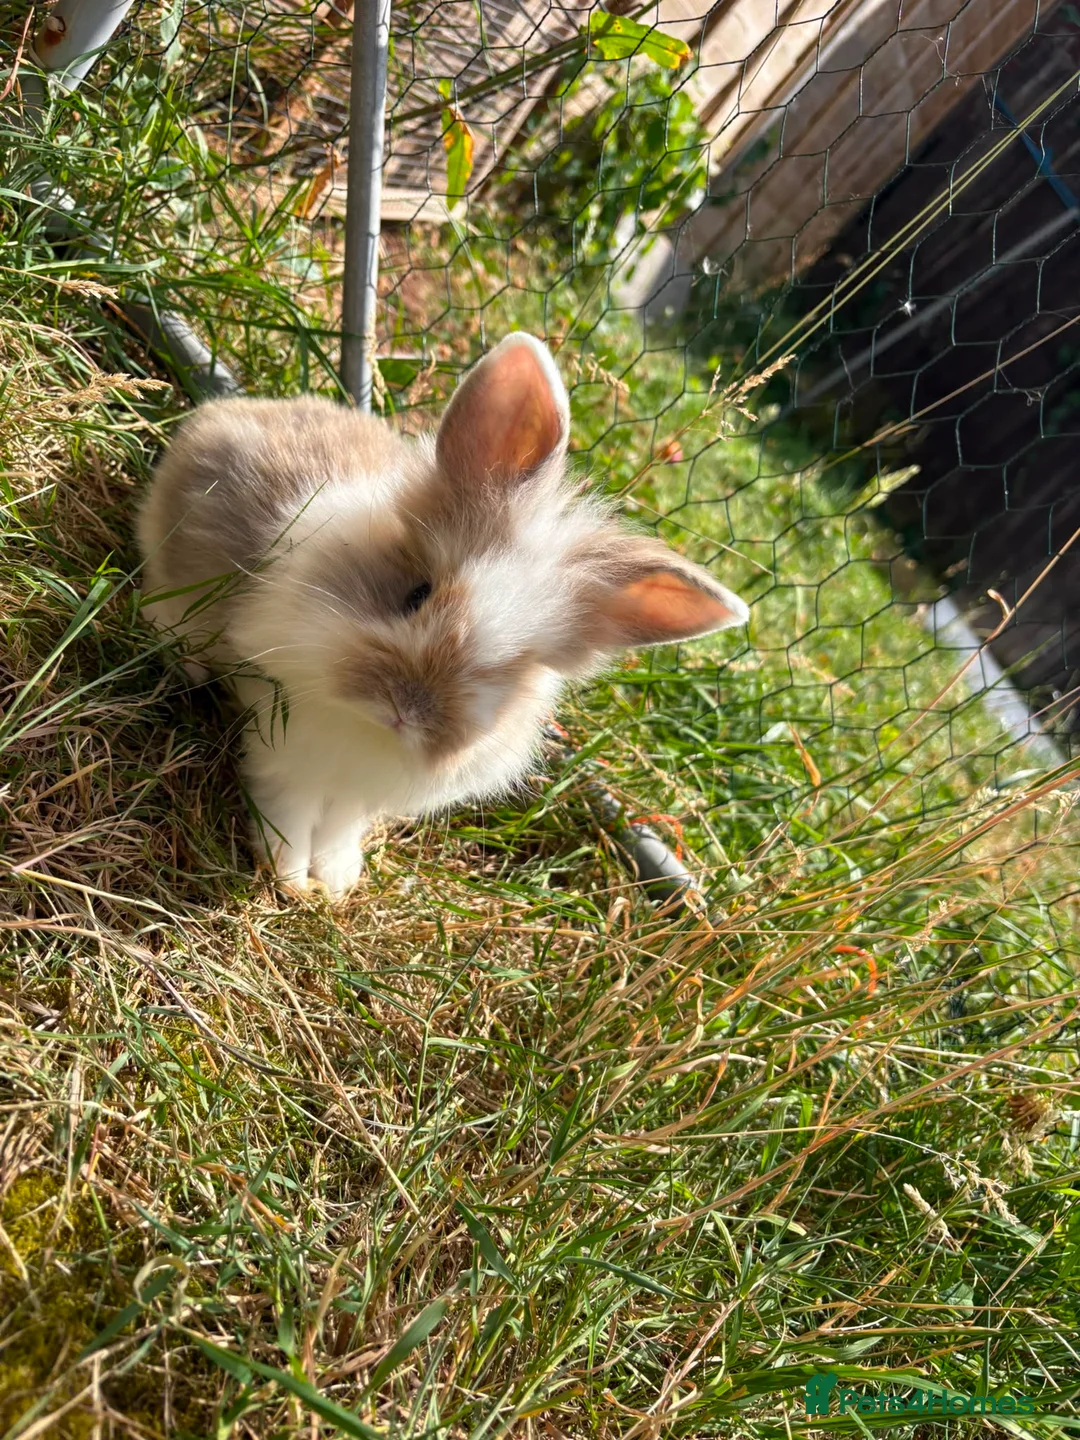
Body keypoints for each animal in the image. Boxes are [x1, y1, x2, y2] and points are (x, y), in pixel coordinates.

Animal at [137, 332, 749, 897]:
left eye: (512, 669)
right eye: (417, 593)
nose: (407, 710)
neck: (364, 730)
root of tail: (235, 409)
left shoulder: (360, 788)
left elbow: (338, 827)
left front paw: (333, 880)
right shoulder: (286, 743)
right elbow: (289, 805)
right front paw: (287, 875)